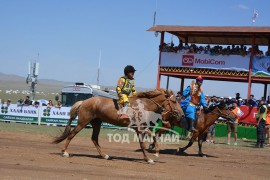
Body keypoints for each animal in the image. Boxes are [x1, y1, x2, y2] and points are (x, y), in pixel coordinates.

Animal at [52, 88, 184, 165]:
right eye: (174, 101)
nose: (182, 114)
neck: (145, 105)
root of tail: (84, 101)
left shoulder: (142, 128)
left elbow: (154, 137)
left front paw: (155, 154)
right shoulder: (139, 129)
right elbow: (142, 144)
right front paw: (149, 159)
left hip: (96, 123)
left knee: (94, 139)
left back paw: (105, 155)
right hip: (82, 122)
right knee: (71, 134)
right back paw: (65, 152)